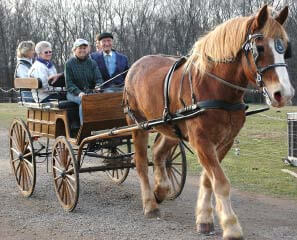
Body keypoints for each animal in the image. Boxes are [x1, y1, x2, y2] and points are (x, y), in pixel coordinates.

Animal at [123, 5, 294, 240]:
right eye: (259, 48)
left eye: (284, 48)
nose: (283, 94)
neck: (214, 86)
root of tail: (136, 65)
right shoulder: (201, 141)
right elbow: (220, 182)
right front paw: (231, 226)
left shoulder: (224, 142)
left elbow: (208, 180)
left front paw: (204, 219)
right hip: (138, 125)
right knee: (140, 162)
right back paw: (150, 204)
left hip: (171, 128)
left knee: (158, 153)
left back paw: (161, 189)